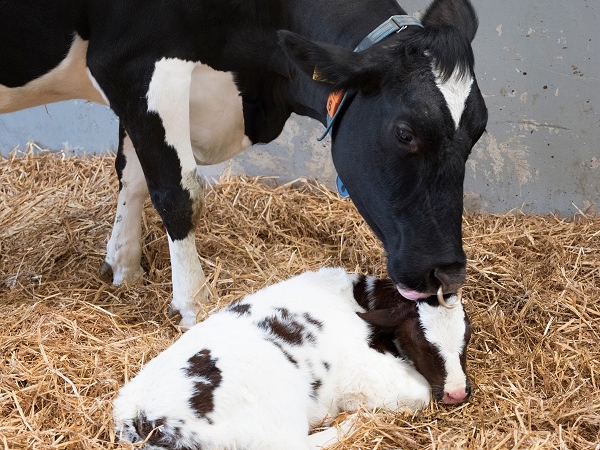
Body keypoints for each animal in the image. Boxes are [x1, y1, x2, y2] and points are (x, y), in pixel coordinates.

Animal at [0, 0, 488, 326]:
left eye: (479, 131)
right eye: (406, 133)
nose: (447, 272)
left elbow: (133, 177)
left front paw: (124, 268)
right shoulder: (137, 63)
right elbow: (177, 192)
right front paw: (194, 305)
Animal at [111, 268, 468, 448]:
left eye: (467, 337)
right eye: (421, 343)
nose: (457, 392)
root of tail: (143, 415)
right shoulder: (366, 370)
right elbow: (420, 393)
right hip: (275, 424)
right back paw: (350, 423)